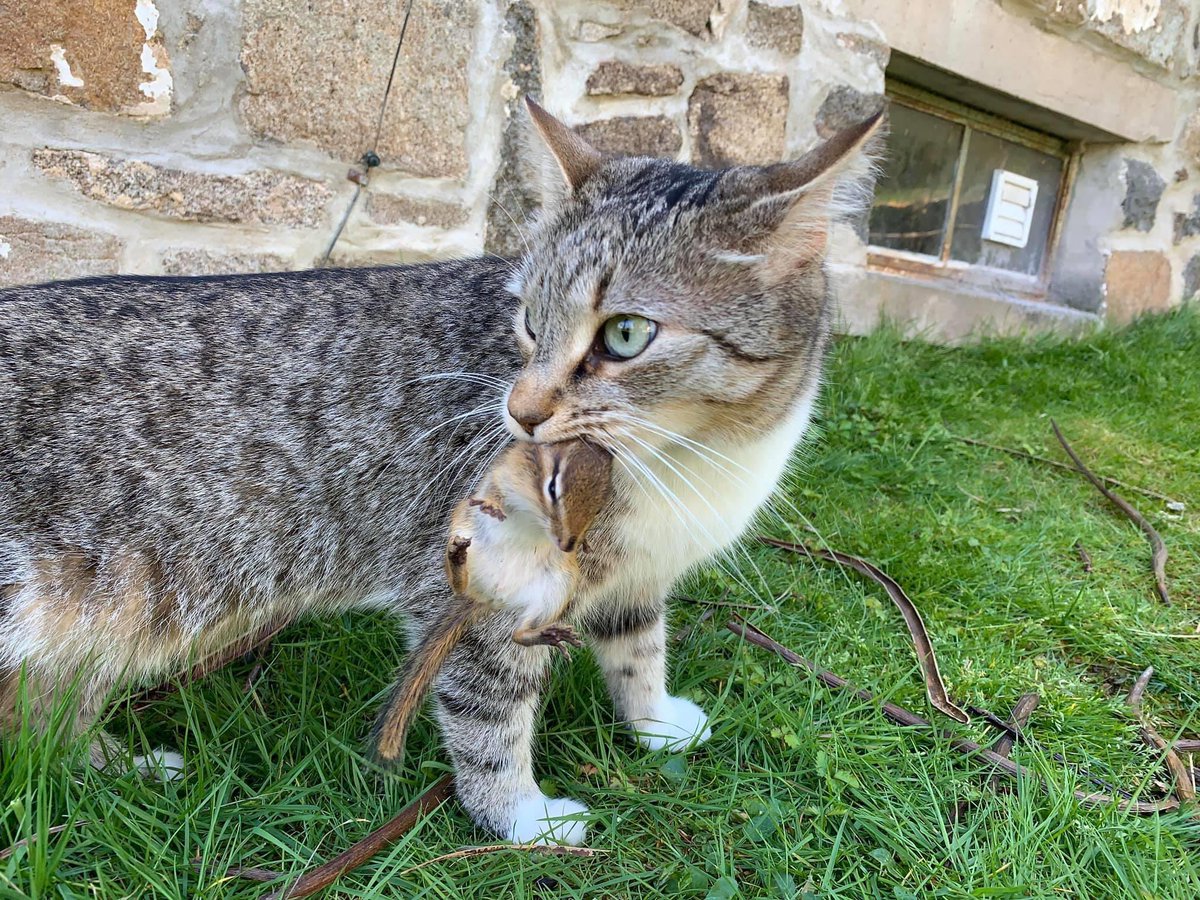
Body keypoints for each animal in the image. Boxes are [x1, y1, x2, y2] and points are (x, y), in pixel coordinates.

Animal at [374, 438, 613, 763]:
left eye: (600, 503)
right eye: (552, 487)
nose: (567, 544)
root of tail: (490, 595)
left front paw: (585, 542)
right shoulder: (501, 472)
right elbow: (493, 492)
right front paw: (493, 506)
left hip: (559, 586)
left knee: (519, 633)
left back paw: (546, 634)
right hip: (463, 528)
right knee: (458, 584)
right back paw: (457, 558)